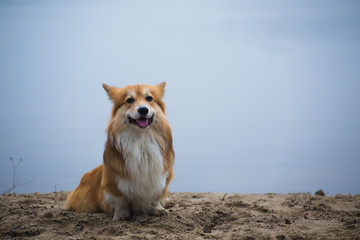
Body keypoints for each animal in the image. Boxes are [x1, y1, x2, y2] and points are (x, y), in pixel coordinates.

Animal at [64, 82, 174, 219]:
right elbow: (121, 200)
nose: (143, 109)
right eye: (129, 100)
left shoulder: (161, 178)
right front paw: (122, 215)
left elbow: (156, 197)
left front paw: (158, 209)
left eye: (149, 98)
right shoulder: (116, 182)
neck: (141, 140)